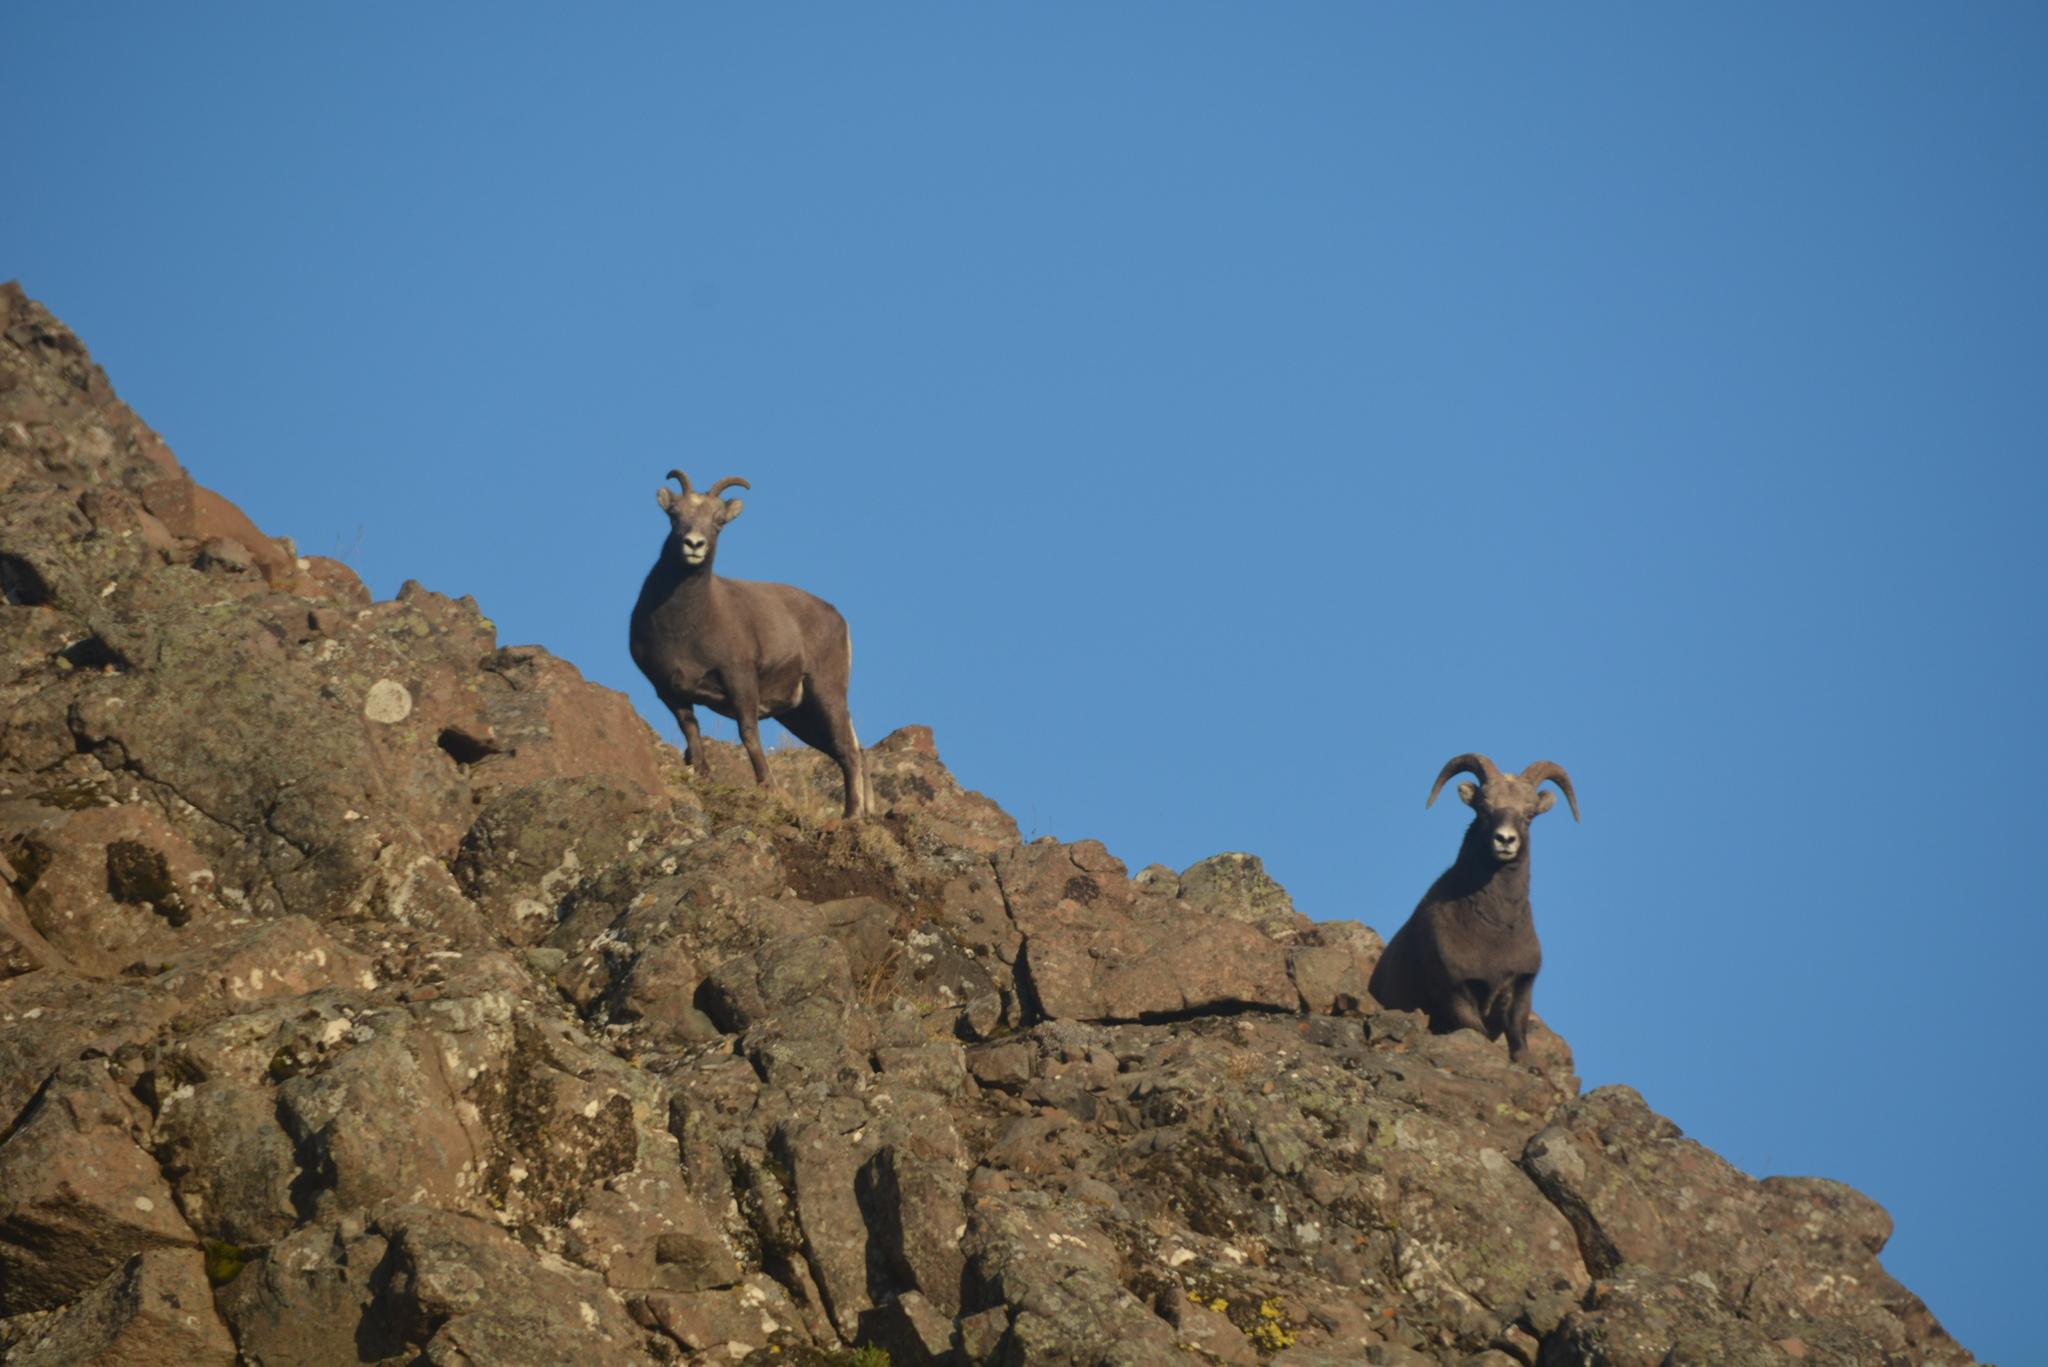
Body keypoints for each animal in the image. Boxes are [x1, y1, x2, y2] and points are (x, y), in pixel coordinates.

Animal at [628, 470, 868, 818]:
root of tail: (837, 617)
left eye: (718, 521)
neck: (685, 626)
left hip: (827, 693)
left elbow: (748, 733)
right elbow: (691, 729)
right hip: (799, 715)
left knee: (848, 750)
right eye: (674, 515)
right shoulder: (668, 690)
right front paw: (703, 773)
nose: (694, 544)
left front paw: (769, 787)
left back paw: (851, 817)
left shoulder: (739, 679)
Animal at [1367, 753, 1579, 1063]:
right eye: (1483, 809)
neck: (1496, 933)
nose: (1505, 840)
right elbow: (1474, 1029)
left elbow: (1518, 1036)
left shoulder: (1521, 988)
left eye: (1529, 815)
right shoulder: (1456, 990)